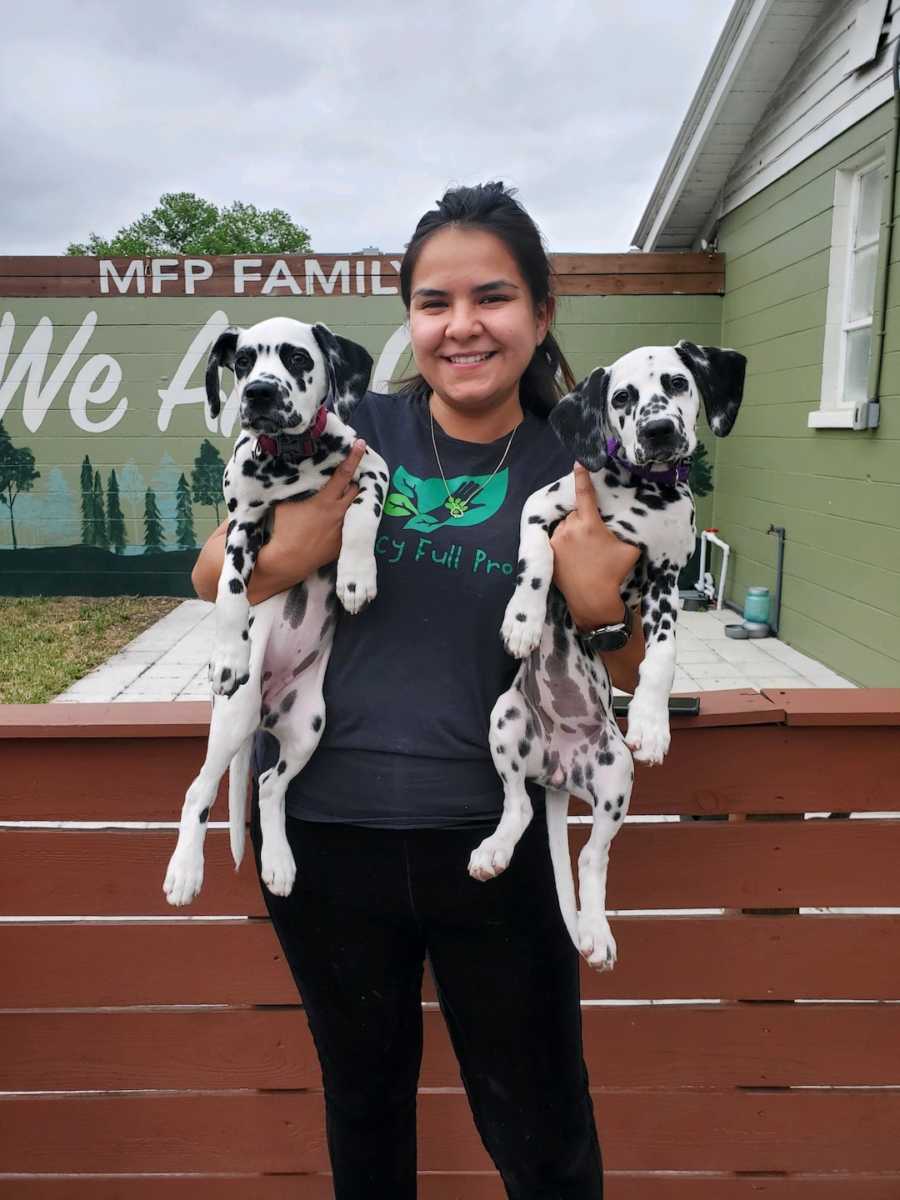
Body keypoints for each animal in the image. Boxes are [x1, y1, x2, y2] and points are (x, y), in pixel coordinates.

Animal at [164, 314, 388, 902]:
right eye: (242, 362)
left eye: (297, 358)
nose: (260, 393)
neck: (292, 458)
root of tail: (265, 707)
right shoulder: (240, 523)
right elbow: (229, 590)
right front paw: (227, 653)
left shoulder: (373, 468)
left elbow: (363, 513)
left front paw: (356, 576)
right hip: (233, 718)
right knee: (198, 791)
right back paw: (185, 872)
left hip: (309, 725)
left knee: (268, 786)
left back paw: (280, 865)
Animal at [468, 343, 744, 969]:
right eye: (622, 397)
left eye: (677, 383)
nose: (659, 430)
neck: (642, 492)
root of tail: (556, 770)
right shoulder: (543, 507)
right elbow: (538, 557)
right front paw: (522, 623)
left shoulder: (666, 581)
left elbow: (661, 656)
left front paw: (651, 722)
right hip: (505, 718)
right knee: (517, 808)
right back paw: (494, 850)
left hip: (616, 775)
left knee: (592, 856)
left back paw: (596, 933)